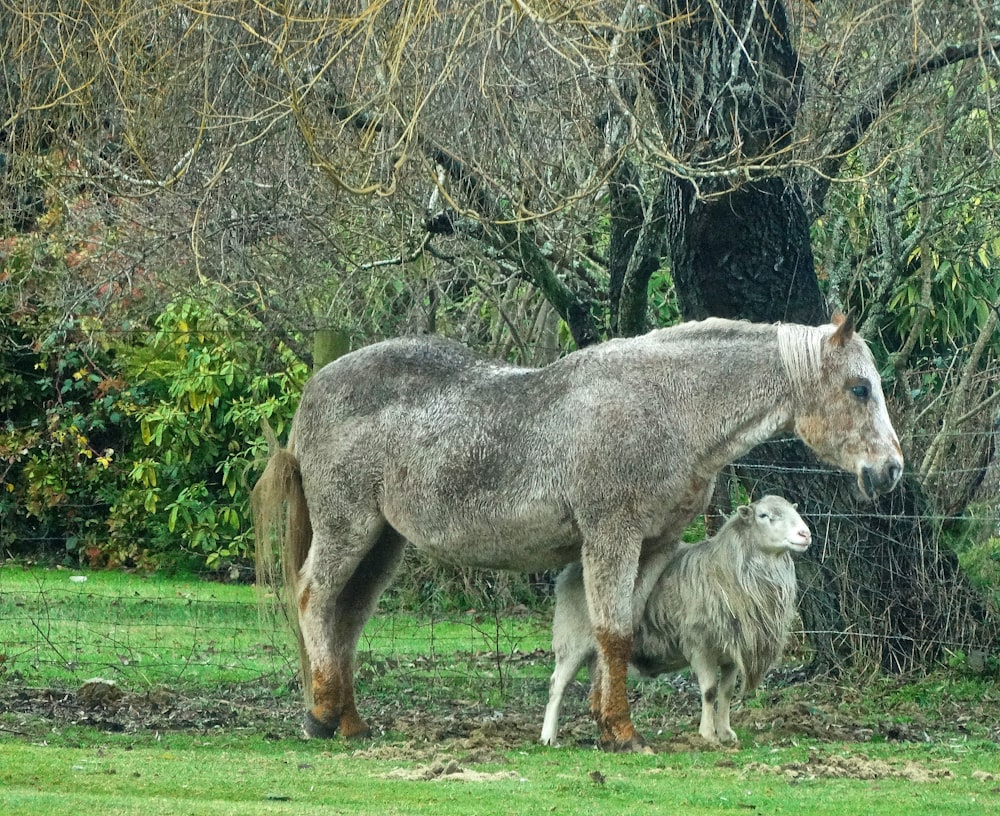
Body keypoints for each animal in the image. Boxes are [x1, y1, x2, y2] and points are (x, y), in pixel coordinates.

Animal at [540, 494, 812, 748]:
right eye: (764, 515)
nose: (805, 534)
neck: (727, 567)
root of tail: (569, 571)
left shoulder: (732, 651)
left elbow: (726, 693)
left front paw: (726, 733)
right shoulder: (700, 645)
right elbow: (709, 691)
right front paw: (707, 735)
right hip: (573, 638)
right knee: (557, 685)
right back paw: (548, 737)